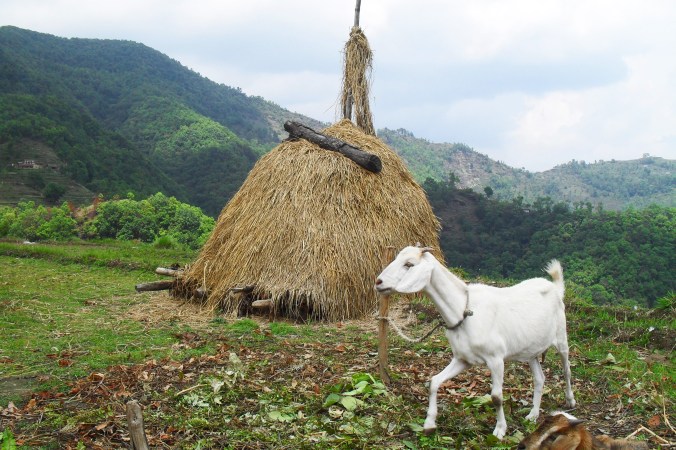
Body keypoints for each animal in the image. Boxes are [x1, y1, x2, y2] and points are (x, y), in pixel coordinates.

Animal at [374, 245, 575, 438]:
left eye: (409, 264)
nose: (378, 282)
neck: (464, 310)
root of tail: (555, 288)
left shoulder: (496, 359)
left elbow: (496, 397)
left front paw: (500, 430)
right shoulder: (462, 359)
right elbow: (434, 381)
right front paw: (429, 424)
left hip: (561, 337)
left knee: (567, 370)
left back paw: (570, 400)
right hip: (531, 349)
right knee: (539, 379)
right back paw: (533, 415)